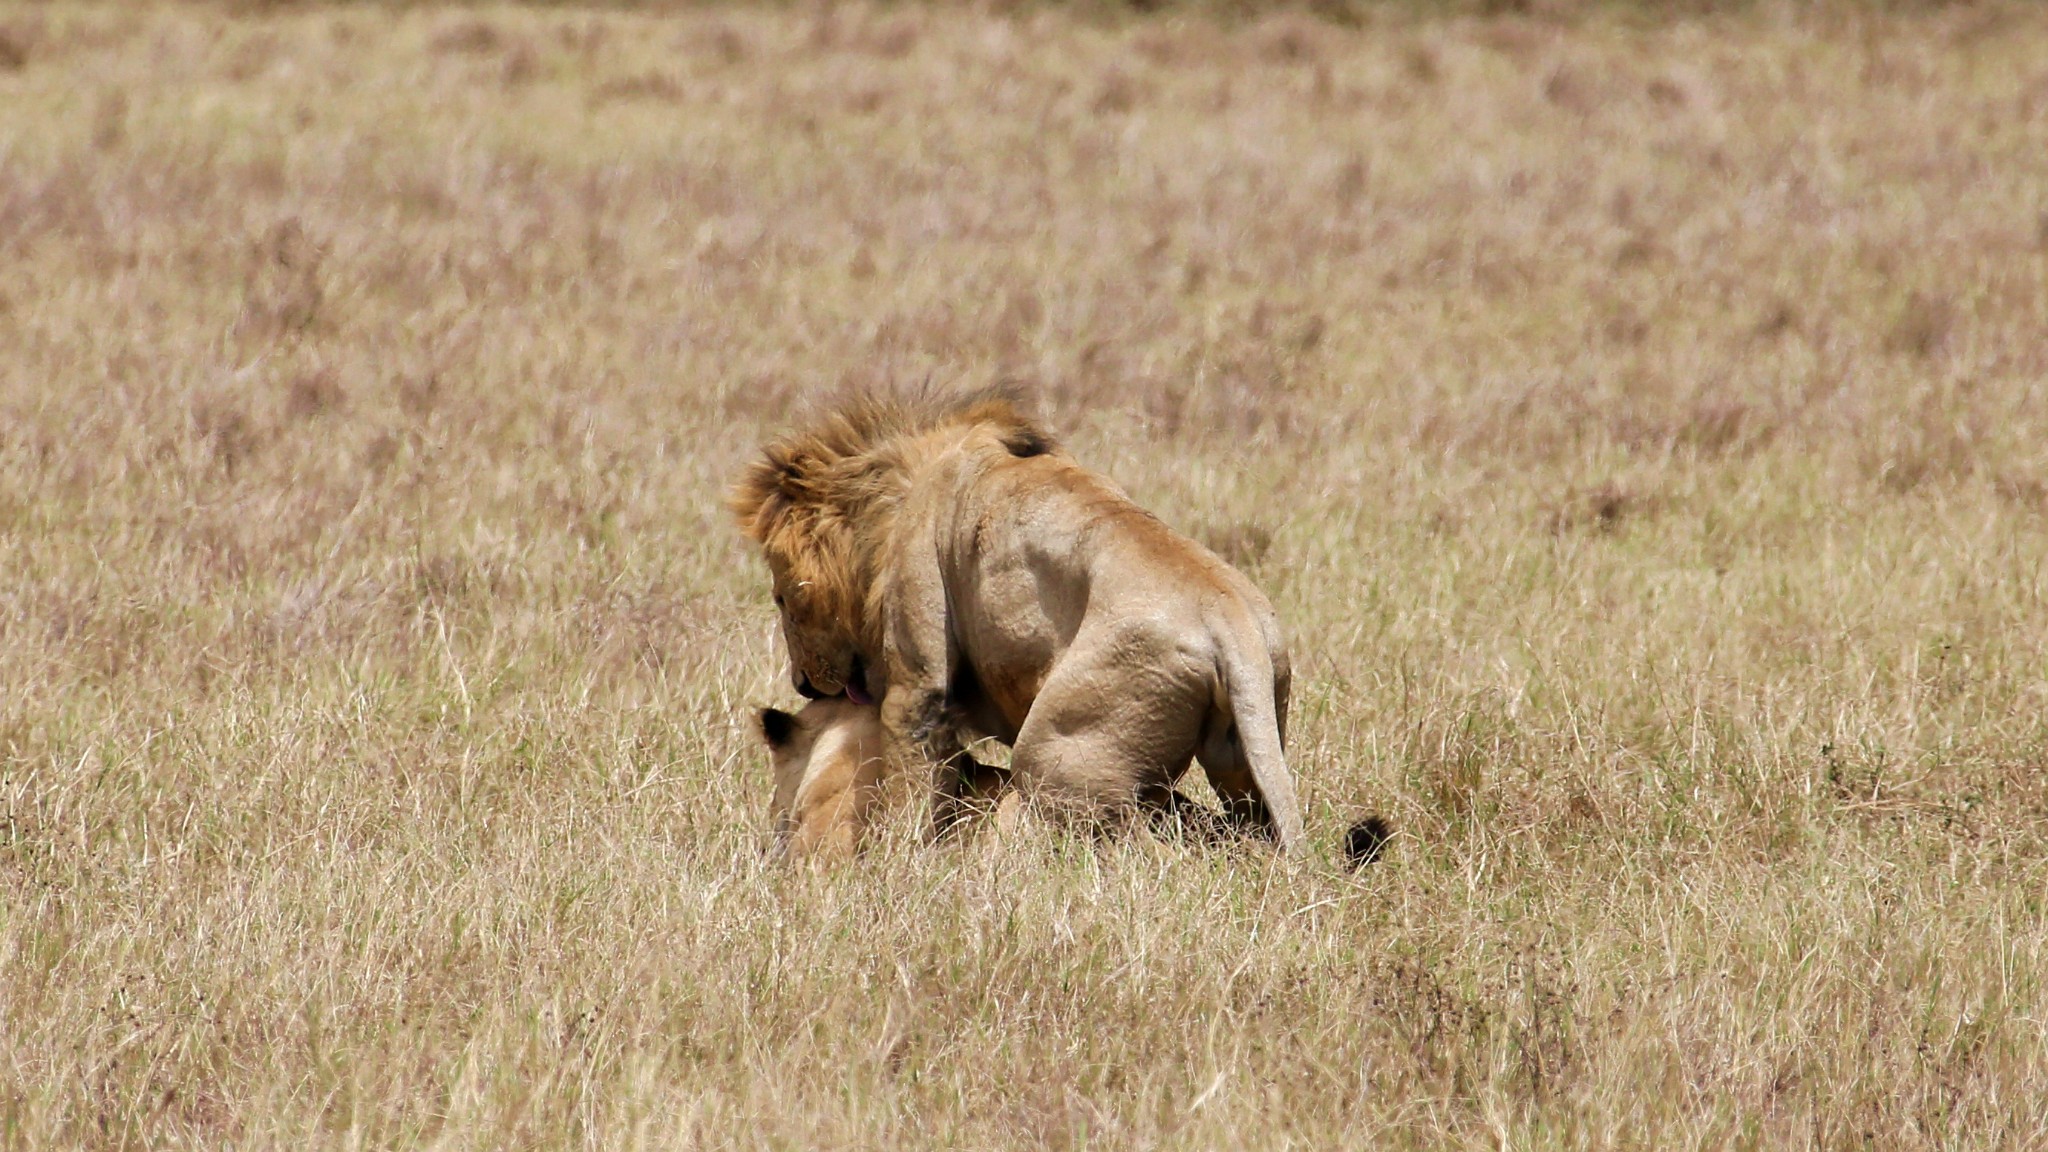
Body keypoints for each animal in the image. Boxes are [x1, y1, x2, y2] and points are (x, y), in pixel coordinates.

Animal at [737, 389, 1302, 848]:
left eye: (782, 599)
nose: (803, 684)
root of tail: (1232, 618)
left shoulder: (918, 683)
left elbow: (909, 790)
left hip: (1056, 753)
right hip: (1240, 759)